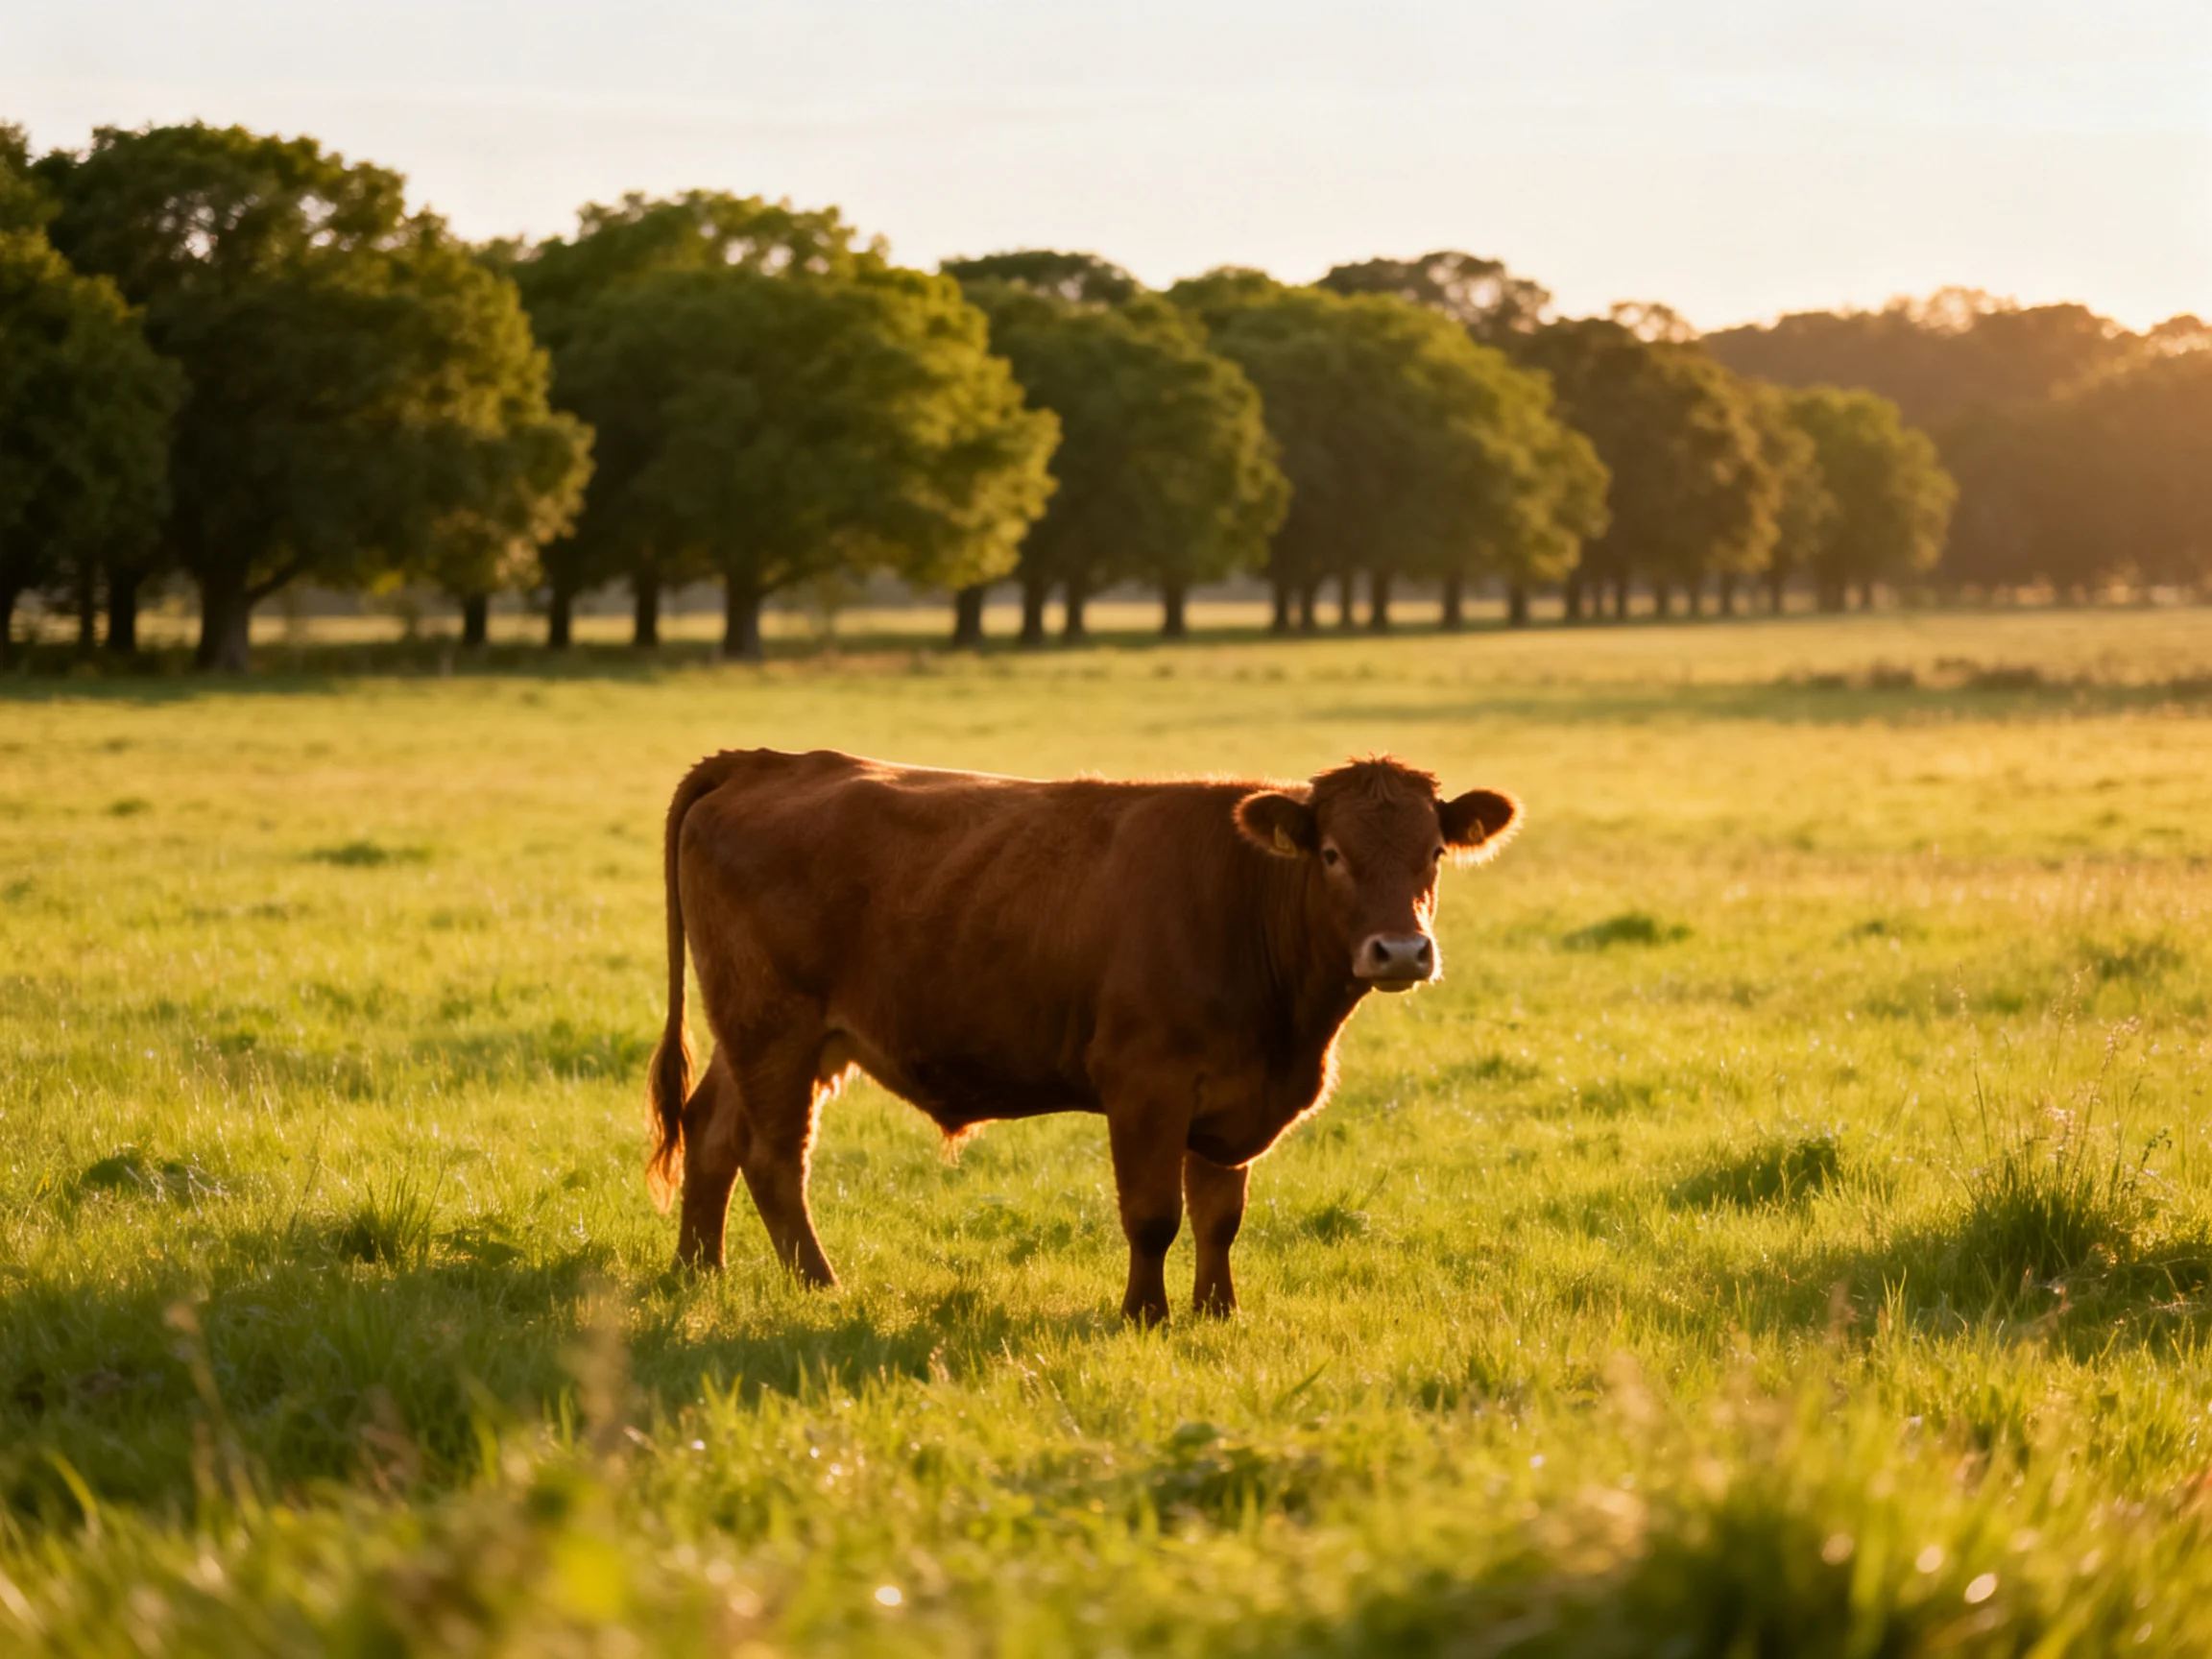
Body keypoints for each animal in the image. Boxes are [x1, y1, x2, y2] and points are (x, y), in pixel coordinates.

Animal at [644, 748, 1521, 1324]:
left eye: (1434, 853)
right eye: (1332, 854)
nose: (1400, 951)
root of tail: (769, 761)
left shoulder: (1231, 1095)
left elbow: (1219, 1214)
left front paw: (1217, 1311)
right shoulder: (1146, 1083)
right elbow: (1153, 1214)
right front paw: (1145, 1316)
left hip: (756, 1031)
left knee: (710, 1131)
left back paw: (699, 1270)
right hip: (775, 1024)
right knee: (772, 1158)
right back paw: (819, 1286)